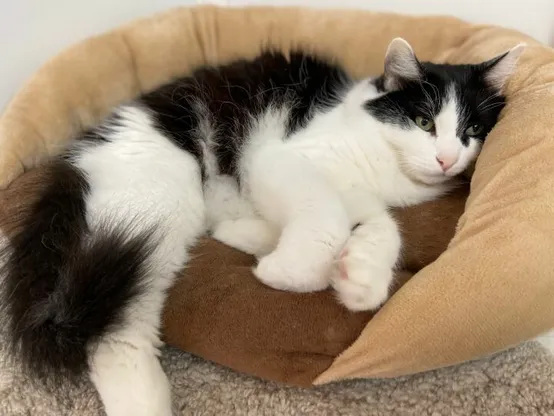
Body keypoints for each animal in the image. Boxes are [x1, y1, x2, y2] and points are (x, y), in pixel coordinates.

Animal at [0, 37, 520, 414]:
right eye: (423, 121)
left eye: (472, 132)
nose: (446, 159)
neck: (387, 165)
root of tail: (76, 159)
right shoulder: (282, 159)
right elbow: (325, 214)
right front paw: (293, 270)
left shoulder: (363, 197)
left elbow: (383, 226)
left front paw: (360, 279)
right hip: (156, 208)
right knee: (116, 334)